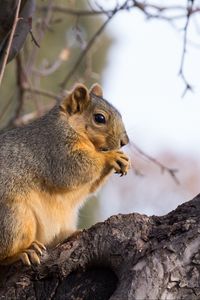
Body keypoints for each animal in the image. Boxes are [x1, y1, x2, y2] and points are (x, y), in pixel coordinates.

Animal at [0, 82, 130, 264]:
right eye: (99, 118)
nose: (125, 142)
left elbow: (90, 187)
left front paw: (124, 161)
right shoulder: (54, 147)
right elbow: (70, 170)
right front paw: (110, 157)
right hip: (14, 217)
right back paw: (22, 252)